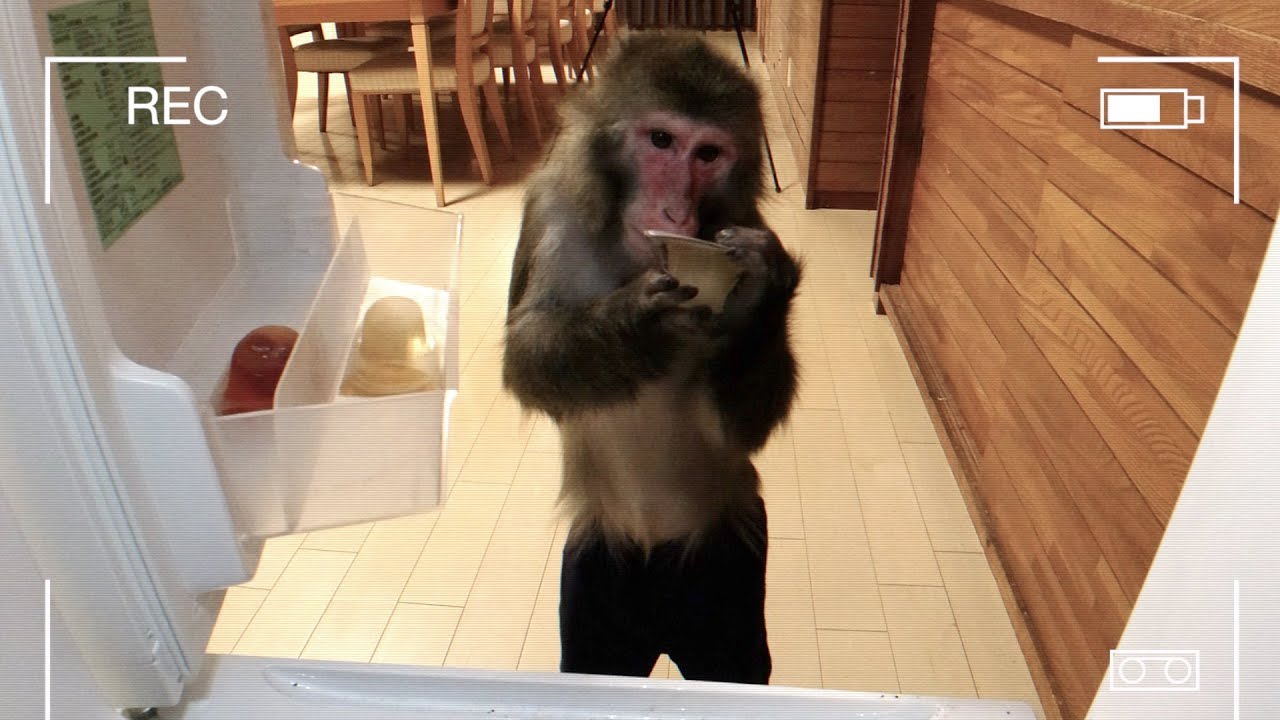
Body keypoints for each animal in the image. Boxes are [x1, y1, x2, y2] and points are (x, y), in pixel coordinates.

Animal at [502, 31, 801, 685]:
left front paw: (767, 288)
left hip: (728, 583)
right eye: (661, 141)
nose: (674, 214)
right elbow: (526, 358)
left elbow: (740, 426)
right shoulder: (552, 214)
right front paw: (639, 318)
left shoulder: (743, 223)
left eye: (708, 153)